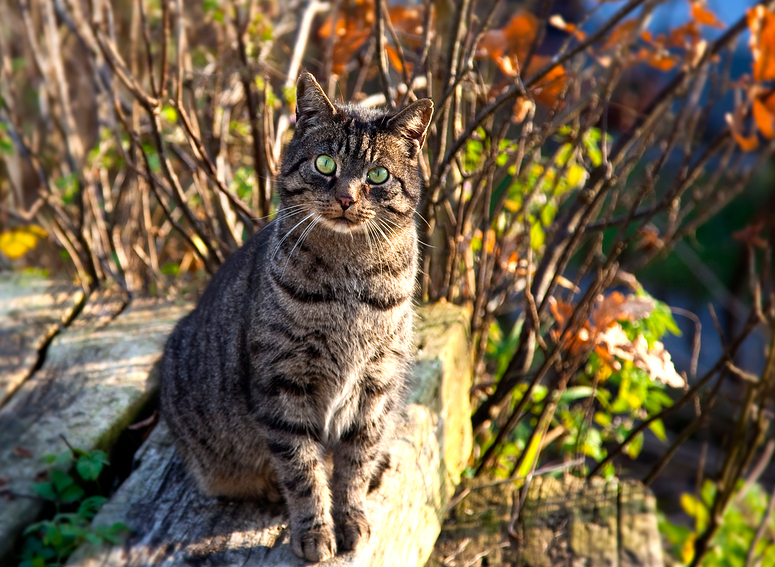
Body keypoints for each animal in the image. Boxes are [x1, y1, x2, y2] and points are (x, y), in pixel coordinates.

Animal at [160, 72, 434, 564]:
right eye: (325, 164)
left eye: (377, 176)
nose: (345, 198)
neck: (349, 280)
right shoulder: (284, 383)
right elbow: (303, 470)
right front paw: (315, 530)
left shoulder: (376, 383)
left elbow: (354, 463)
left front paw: (352, 518)